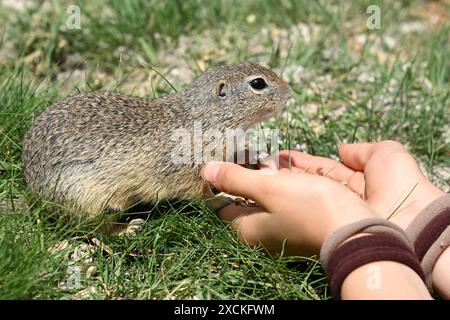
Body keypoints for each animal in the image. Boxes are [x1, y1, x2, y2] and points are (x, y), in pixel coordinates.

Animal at [22, 62, 292, 218]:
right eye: (258, 83)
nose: (290, 93)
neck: (207, 117)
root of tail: (32, 189)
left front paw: (255, 155)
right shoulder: (187, 174)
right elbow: (201, 195)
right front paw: (224, 198)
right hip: (85, 196)